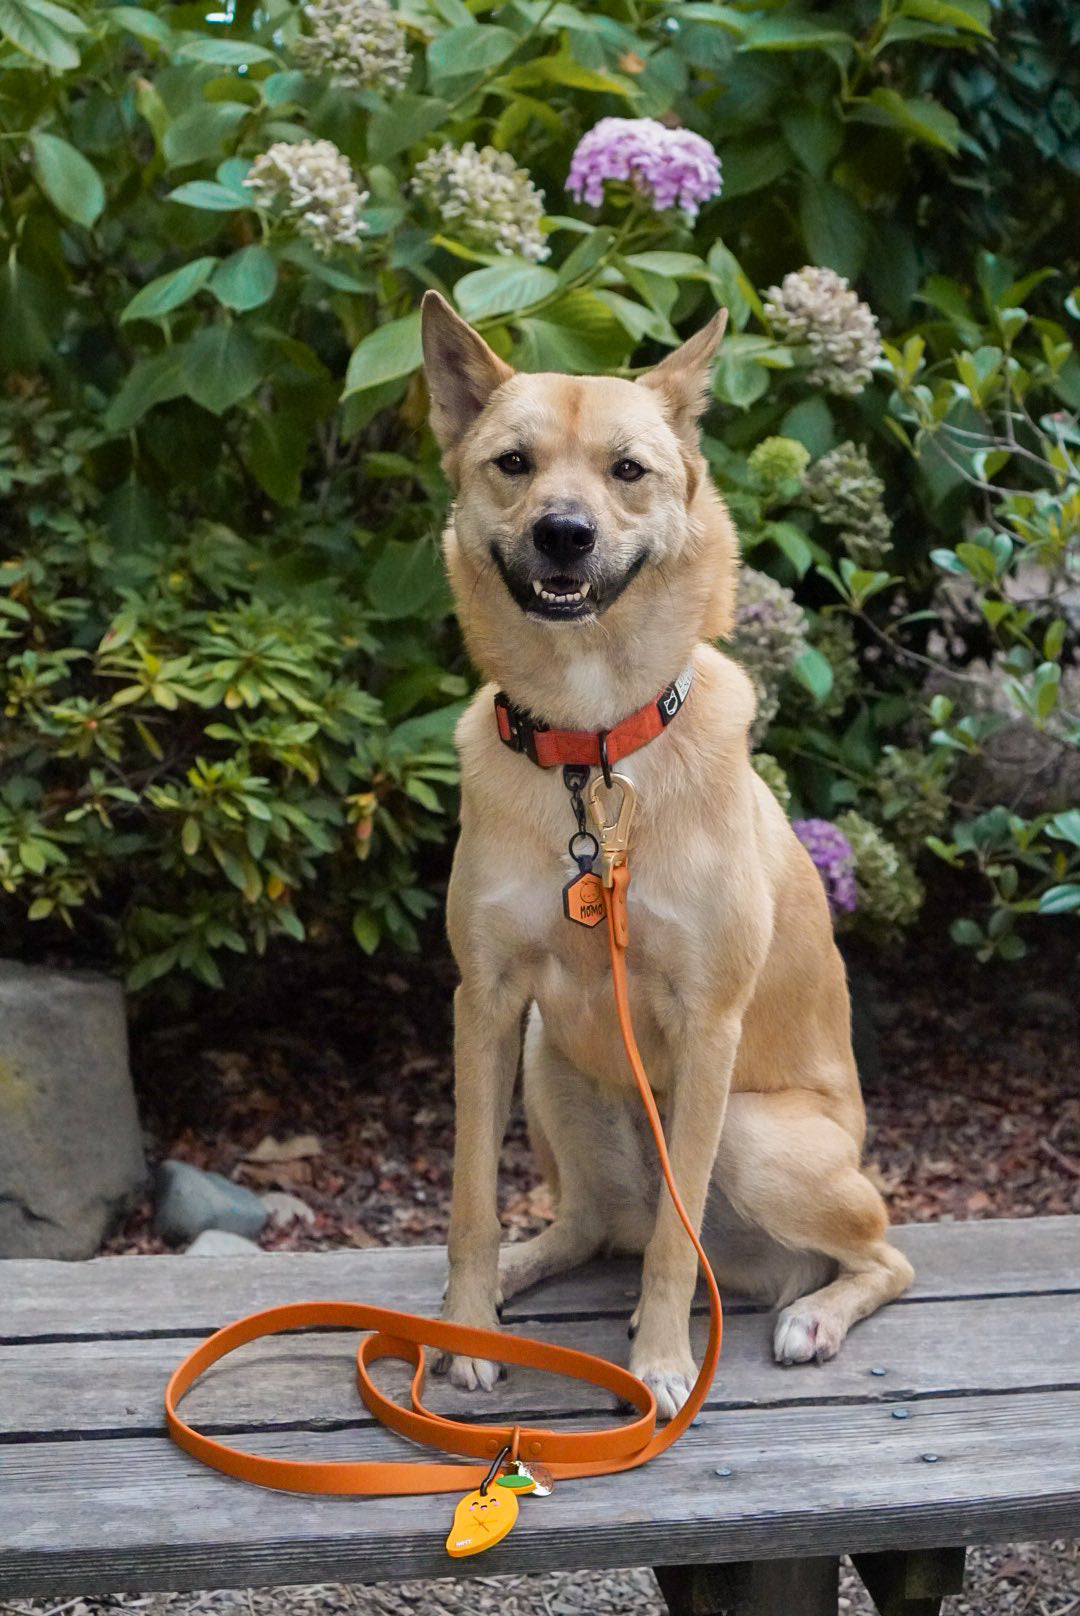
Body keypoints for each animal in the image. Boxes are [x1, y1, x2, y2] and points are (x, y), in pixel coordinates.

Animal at [420, 287, 911, 1415]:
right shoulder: (487, 1001)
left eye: (628, 470)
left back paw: (816, 1314)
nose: (562, 533)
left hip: (755, 1136)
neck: (593, 747)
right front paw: (467, 1326)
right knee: (594, 1224)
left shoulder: (707, 1024)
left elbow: (673, 1254)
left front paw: (659, 1361)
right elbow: (469, 1197)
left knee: (876, 1254)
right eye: (512, 462)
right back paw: (520, 1267)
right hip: (549, 1060)